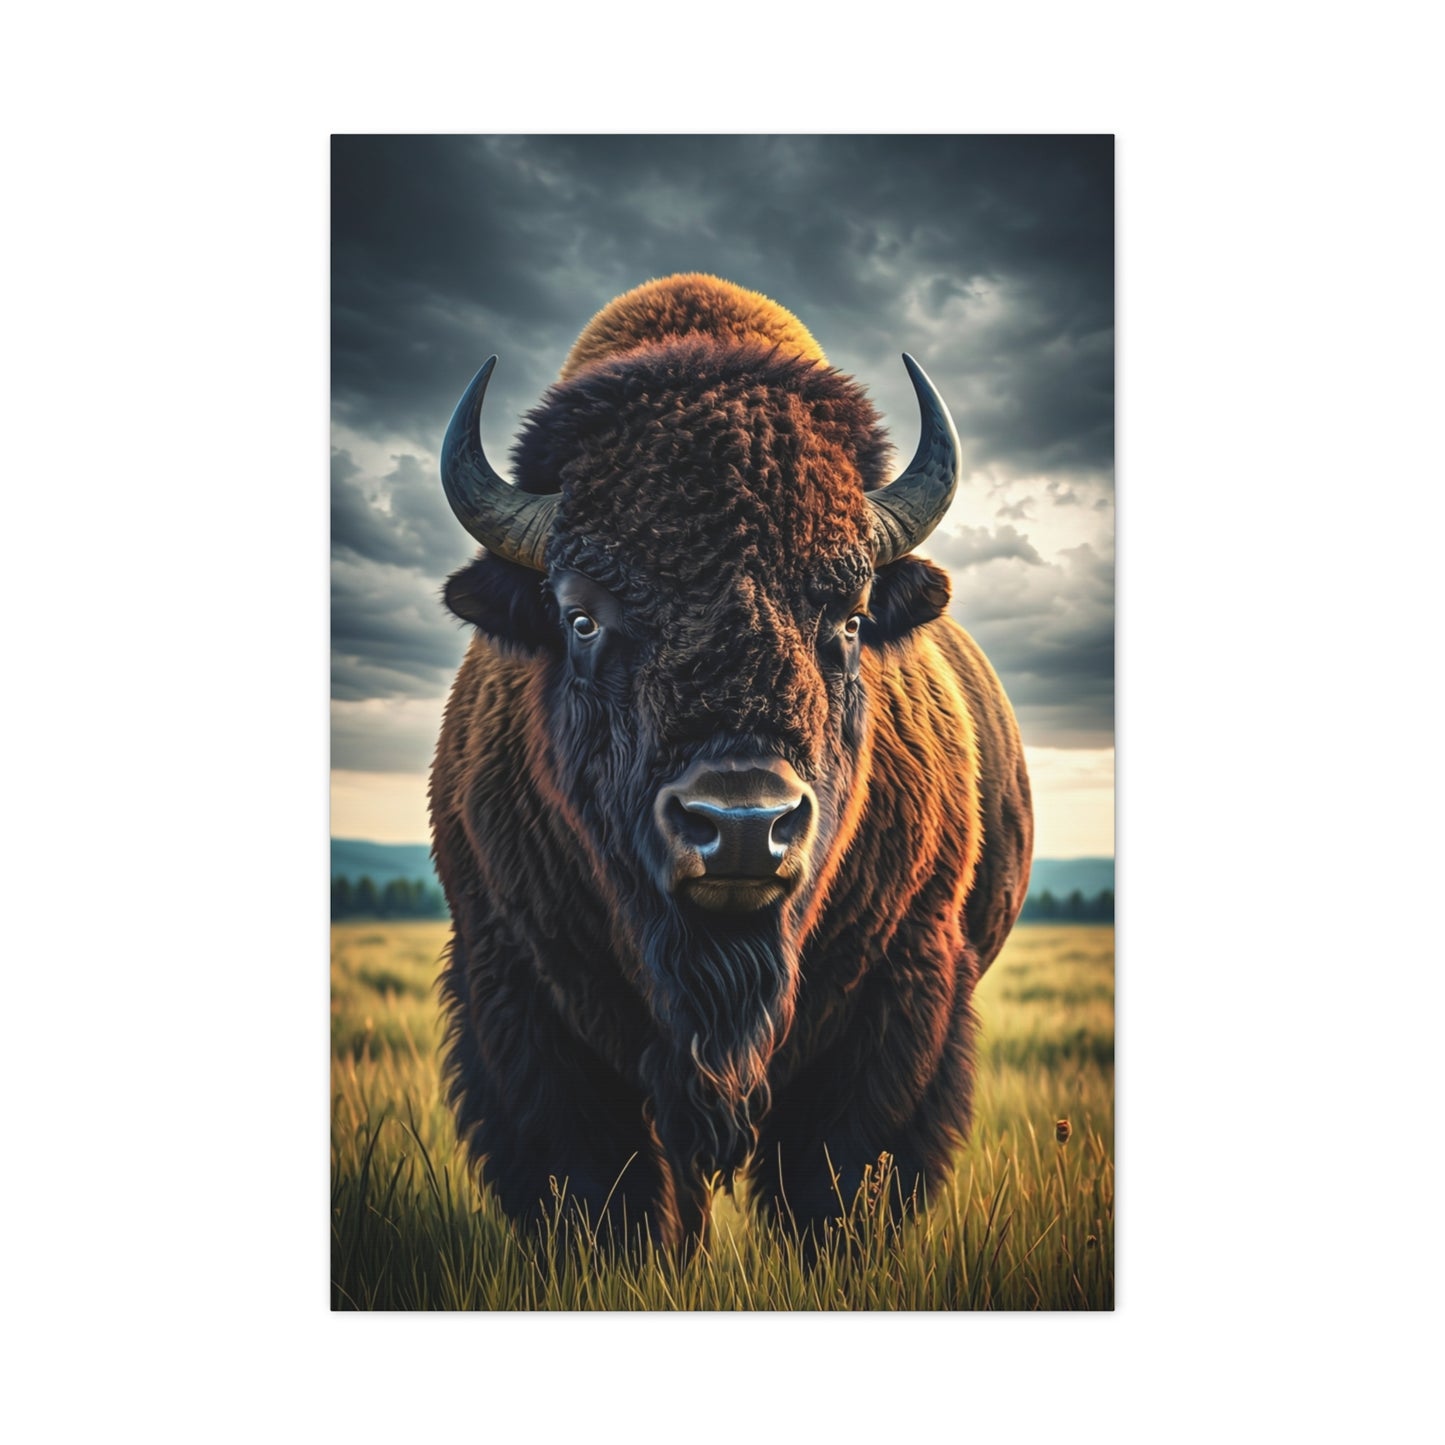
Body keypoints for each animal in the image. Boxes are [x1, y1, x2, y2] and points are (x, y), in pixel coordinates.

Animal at [430, 274, 1032, 1250]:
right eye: (580, 617)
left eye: (851, 619)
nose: (744, 826)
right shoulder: (515, 986)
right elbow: (604, 1188)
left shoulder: (903, 984)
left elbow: (835, 1183)